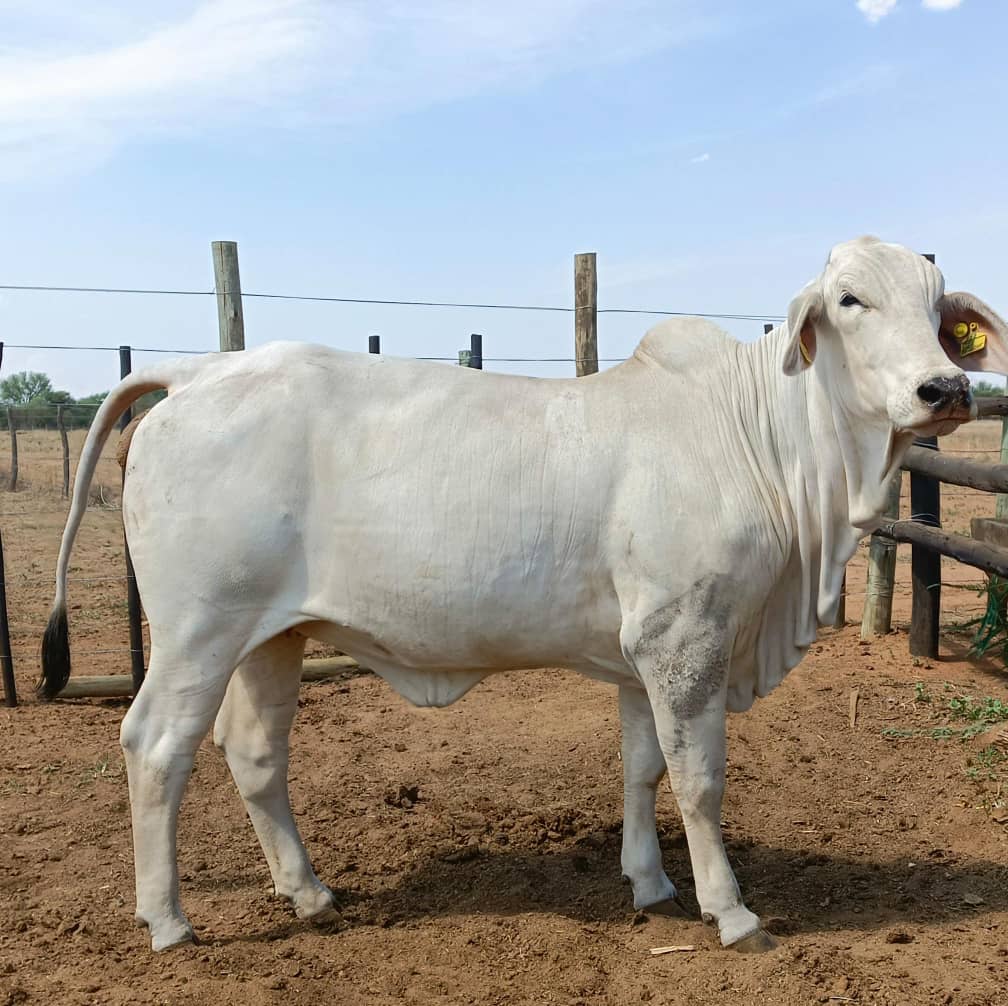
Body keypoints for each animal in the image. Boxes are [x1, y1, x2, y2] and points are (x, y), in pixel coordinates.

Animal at [39, 237, 1008, 951]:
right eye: (849, 300)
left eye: (937, 307)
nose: (945, 387)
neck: (763, 441)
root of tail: (196, 372)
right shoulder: (686, 639)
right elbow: (699, 780)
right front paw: (729, 910)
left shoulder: (641, 653)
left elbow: (642, 766)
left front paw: (650, 882)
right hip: (198, 631)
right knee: (156, 746)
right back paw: (169, 921)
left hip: (273, 636)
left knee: (254, 754)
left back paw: (309, 892)